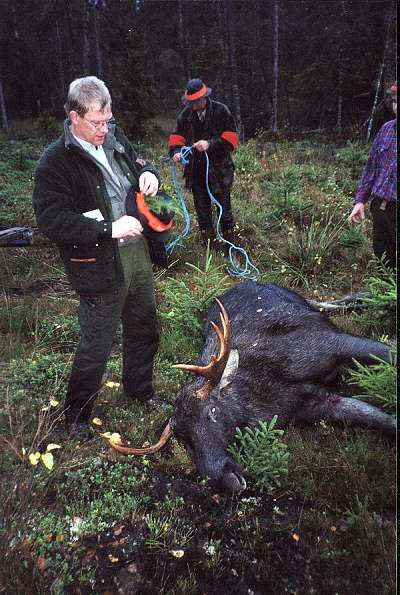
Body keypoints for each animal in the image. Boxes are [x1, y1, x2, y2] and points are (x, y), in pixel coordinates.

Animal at [108, 282, 396, 492]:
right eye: (183, 437)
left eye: (213, 412)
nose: (223, 479)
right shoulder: (315, 403)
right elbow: (383, 419)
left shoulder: (333, 342)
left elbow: (388, 354)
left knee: (325, 302)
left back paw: (369, 295)